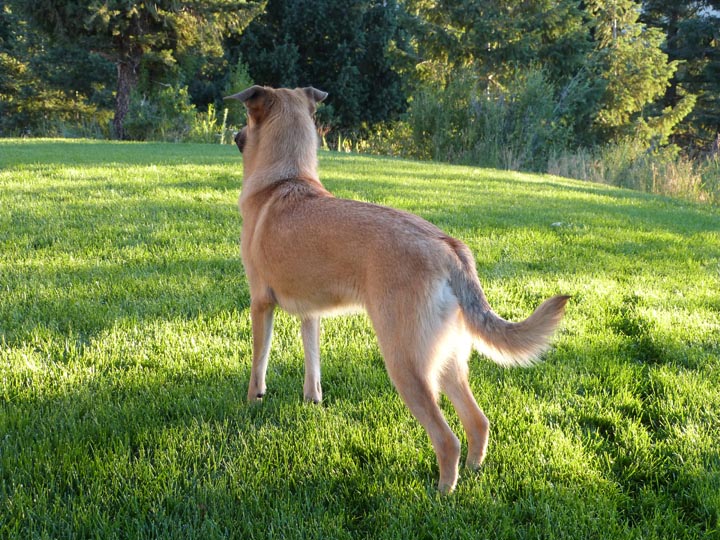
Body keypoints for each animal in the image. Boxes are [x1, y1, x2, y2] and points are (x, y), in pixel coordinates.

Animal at [228, 84, 572, 494]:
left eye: (246, 118)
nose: (234, 135)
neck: (283, 180)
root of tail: (448, 249)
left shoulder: (260, 304)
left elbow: (258, 361)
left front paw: (253, 401)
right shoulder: (310, 314)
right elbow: (312, 363)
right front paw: (312, 401)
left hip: (404, 361)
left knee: (447, 439)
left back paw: (441, 493)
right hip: (447, 359)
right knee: (478, 422)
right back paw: (474, 473)